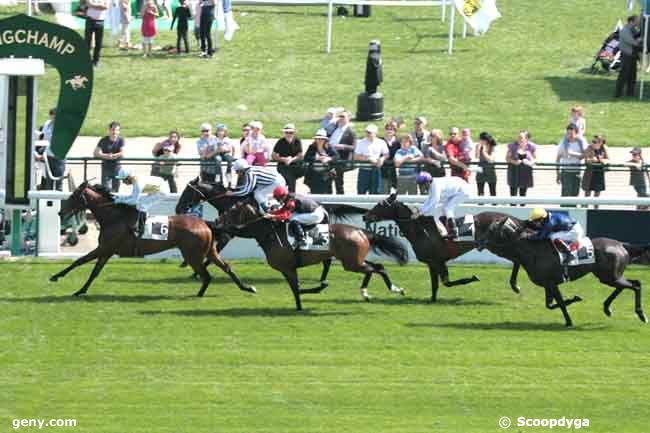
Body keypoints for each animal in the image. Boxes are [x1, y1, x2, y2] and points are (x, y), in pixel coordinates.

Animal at [50, 180, 256, 296]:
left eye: (74, 196)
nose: (60, 212)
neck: (113, 216)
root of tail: (205, 224)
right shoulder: (107, 251)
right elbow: (94, 272)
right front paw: (81, 290)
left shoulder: (105, 248)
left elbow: (80, 261)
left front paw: (55, 276)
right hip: (209, 251)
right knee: (226, 267)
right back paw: (246, 287)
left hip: (193, 255)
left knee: (207, 275)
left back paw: (199, 294)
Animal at [218, 201, 408, 308]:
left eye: (231, 211)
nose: (218, 222)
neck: (269, 233)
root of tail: (361, 232)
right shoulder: (287, 269)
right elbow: (297, 289)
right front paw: (309, 295)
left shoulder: (287, 268)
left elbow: (297, 289)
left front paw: (303, 303)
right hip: (354, 260)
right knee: (377, 267)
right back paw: (377, 291)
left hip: (351, 263)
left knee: (374, 269)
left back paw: (383, 290)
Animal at [362, 194, 524, 302]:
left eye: (380, 205)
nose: (365, 216)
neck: (421, 230)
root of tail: (513, 219)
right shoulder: (434, 262)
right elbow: (438, 284)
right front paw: (432, 299)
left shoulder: (436, 261)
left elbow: (445, 282)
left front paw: (473, 277)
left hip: (498, 246)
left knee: (517, 259)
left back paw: (515, 286)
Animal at [476, 214, 648, 326]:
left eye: (491, 230)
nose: (478, 242)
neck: (533, 250)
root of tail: (621, 245)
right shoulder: (548, 284)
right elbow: (551, 304)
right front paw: (574, 299)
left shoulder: (552, 283)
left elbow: (559, 303)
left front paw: (569, 320)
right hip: (610, 276)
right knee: (629, 284)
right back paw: (607, 308)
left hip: (609, 276)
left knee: (636, 285)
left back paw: (641, 314)